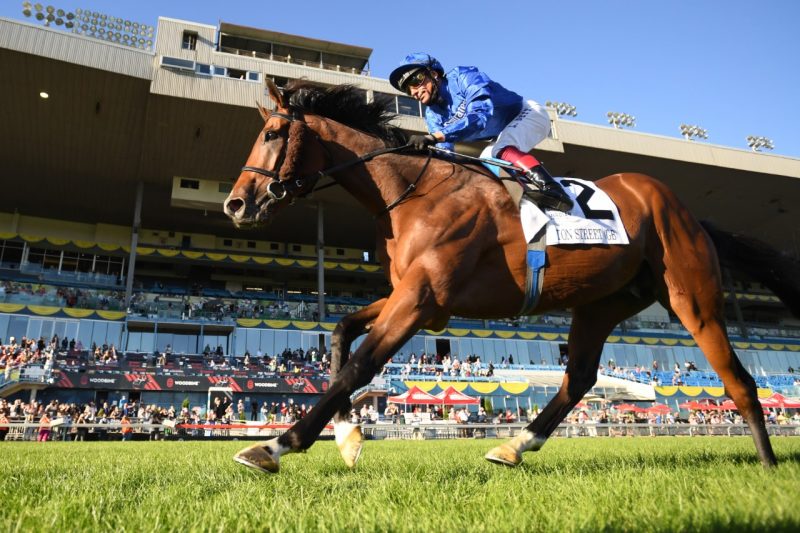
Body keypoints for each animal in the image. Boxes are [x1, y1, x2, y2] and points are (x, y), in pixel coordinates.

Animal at [222, 78, 796, 470]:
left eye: (273, 133)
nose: (236, 204)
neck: (412, 191)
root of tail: (688, 212)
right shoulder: (412, 293)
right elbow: (341, 334)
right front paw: (346, 437)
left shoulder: (421, 299)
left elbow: (358, 366)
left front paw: (278, 443)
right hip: (602, 302)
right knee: (578, 377)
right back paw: (516, 444)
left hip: (691, 296)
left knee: (739, 379)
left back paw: (767, 465)